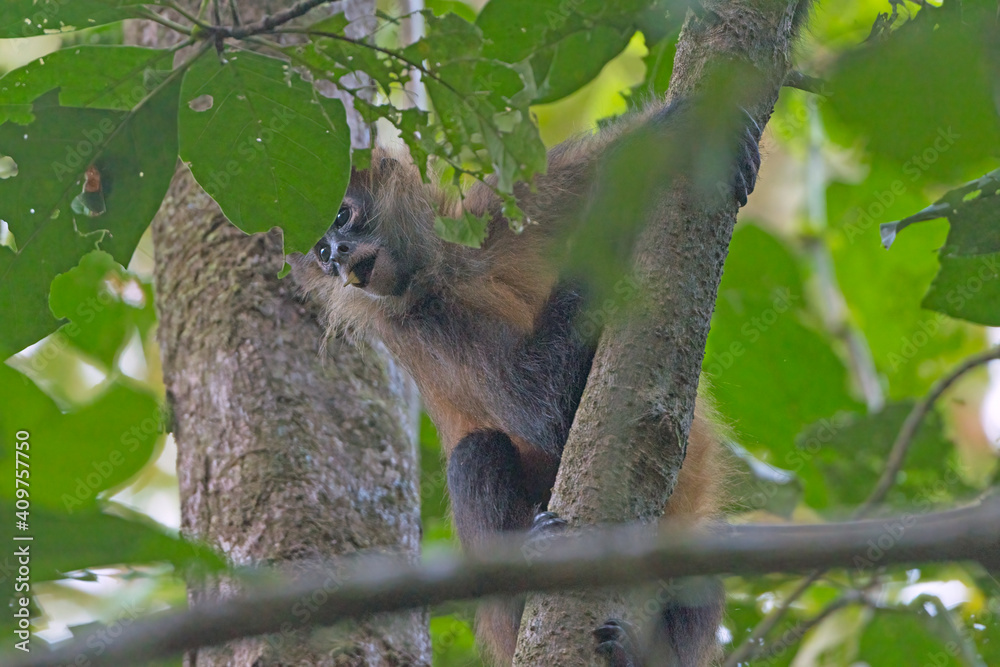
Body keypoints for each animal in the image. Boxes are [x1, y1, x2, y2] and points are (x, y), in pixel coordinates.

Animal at [290, 96, 761, 666]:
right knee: (477, 452)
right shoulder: (418, 320)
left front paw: (676, 133)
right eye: (319, 251)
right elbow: (545, 412)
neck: (450, 269)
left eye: (341, 216)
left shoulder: (502, 207)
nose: (335, 256)